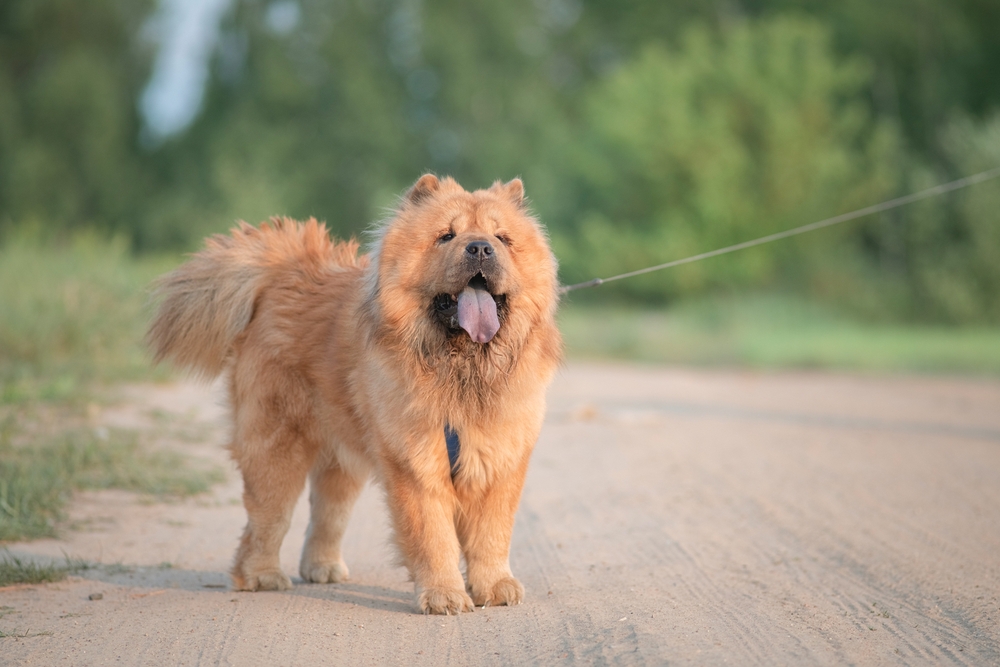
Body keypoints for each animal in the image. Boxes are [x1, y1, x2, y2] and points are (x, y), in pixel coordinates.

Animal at [146, 176, 564, 616]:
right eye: (446, 236)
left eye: (502, 239)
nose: (480, 248)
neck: (462, 369)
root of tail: (284, 273)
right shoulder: (416, 464)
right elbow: (434, 537)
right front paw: (444, 595)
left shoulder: (500, 459)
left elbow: (491, 534)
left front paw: (496, 587)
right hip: (277, 447)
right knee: (267, 519)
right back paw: (261, 576)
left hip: (342, 456)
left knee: (327, 514)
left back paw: (323, 569)